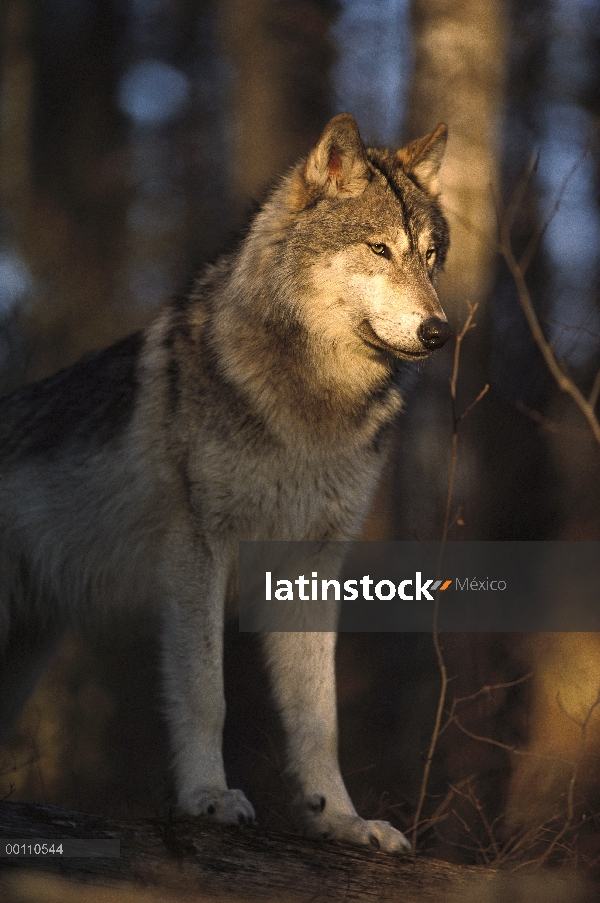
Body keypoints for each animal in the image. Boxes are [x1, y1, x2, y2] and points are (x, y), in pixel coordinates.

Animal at [0, 113, 450, 856]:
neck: (309, 411)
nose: (439, 330)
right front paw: (207, 798)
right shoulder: (198, 549)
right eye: (379, 248)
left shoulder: (313, 565)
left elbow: (318, 719)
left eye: (432, 256)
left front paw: (341, 820)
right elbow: (207, 694)